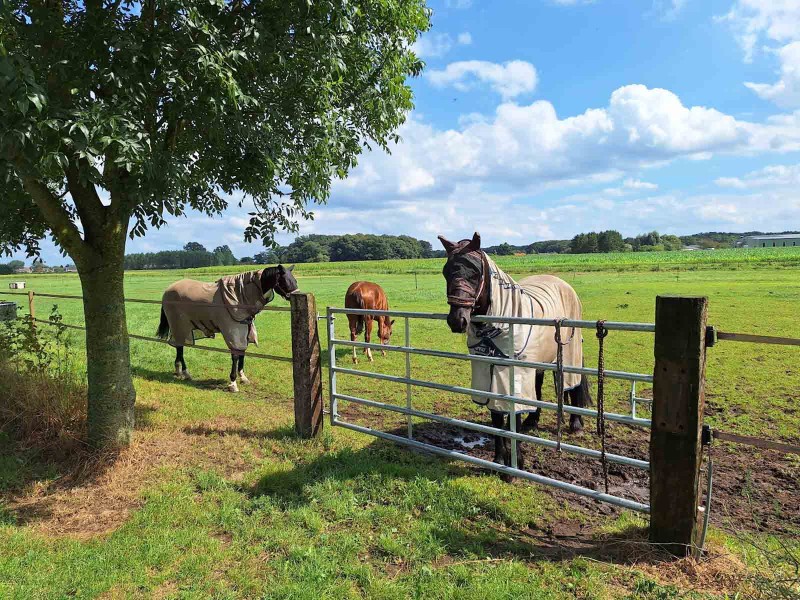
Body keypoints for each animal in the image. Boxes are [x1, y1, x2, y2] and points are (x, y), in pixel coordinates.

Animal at [156, 265, 297, 392]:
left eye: (294, 281)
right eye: (285, 281)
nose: (296, 295)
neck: (239, 295)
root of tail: (168, 290)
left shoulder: (244, 329)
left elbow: (242, 351)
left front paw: (243, 378)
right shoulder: (232, 330)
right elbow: (235, 355)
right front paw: (233, 383)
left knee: (179, 346)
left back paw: (179, 371)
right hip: (180, 325)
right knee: (180, 347)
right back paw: (185, 373)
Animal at [438, 232, 592, 476]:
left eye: (475, 272)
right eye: (445, 271)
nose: (457, 320)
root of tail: (562, 284)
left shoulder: (513, 374)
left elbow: (514, 417)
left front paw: (516, 463)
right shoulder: (487, 374)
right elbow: (497, 418)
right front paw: (499, 458)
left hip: (569, 353)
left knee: (573, 383)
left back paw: (576, 424)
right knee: (537, 389)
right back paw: (533, 420)